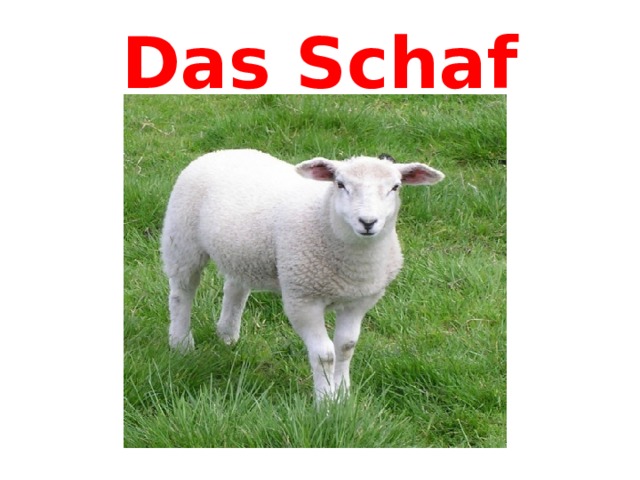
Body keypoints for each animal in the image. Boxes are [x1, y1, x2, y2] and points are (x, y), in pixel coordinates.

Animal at [161, 149, 444, 400]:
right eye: (340, 184)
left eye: (395, 187)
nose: (367, 222)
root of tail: (221, 152)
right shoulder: (302, 300)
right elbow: (325, 355)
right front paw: (326, 403)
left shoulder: (359, 300)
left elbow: (346, 347)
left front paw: (343, 395)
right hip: (182, 240)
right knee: (181, 293)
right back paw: (181, 343)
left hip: (242, 253)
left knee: (235, 288)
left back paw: (227, 335)